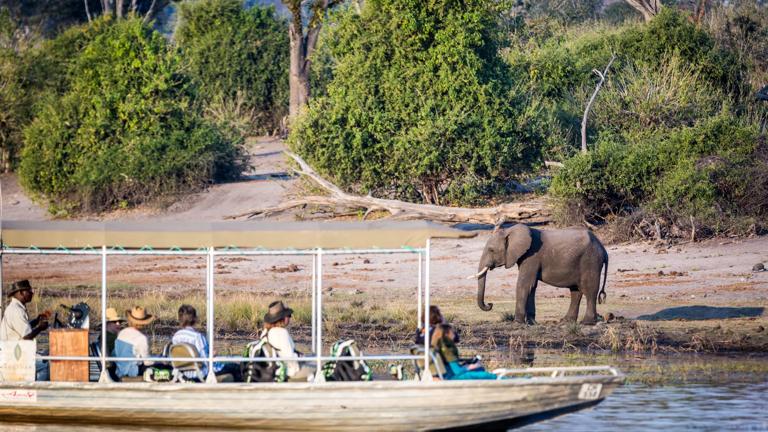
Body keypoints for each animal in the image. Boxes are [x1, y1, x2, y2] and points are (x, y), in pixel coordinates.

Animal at [472, 224, 608, 326]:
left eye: (491, 250)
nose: (490, 304)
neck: (509, 230)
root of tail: (603, 249)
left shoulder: (532, 256)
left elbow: (524, 284)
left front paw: (518, 322)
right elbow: (531, 286)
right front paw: (531, 322)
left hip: (590, 260)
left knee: (589, 289)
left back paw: (587, 322)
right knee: (576, 291)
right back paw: (566, 321)